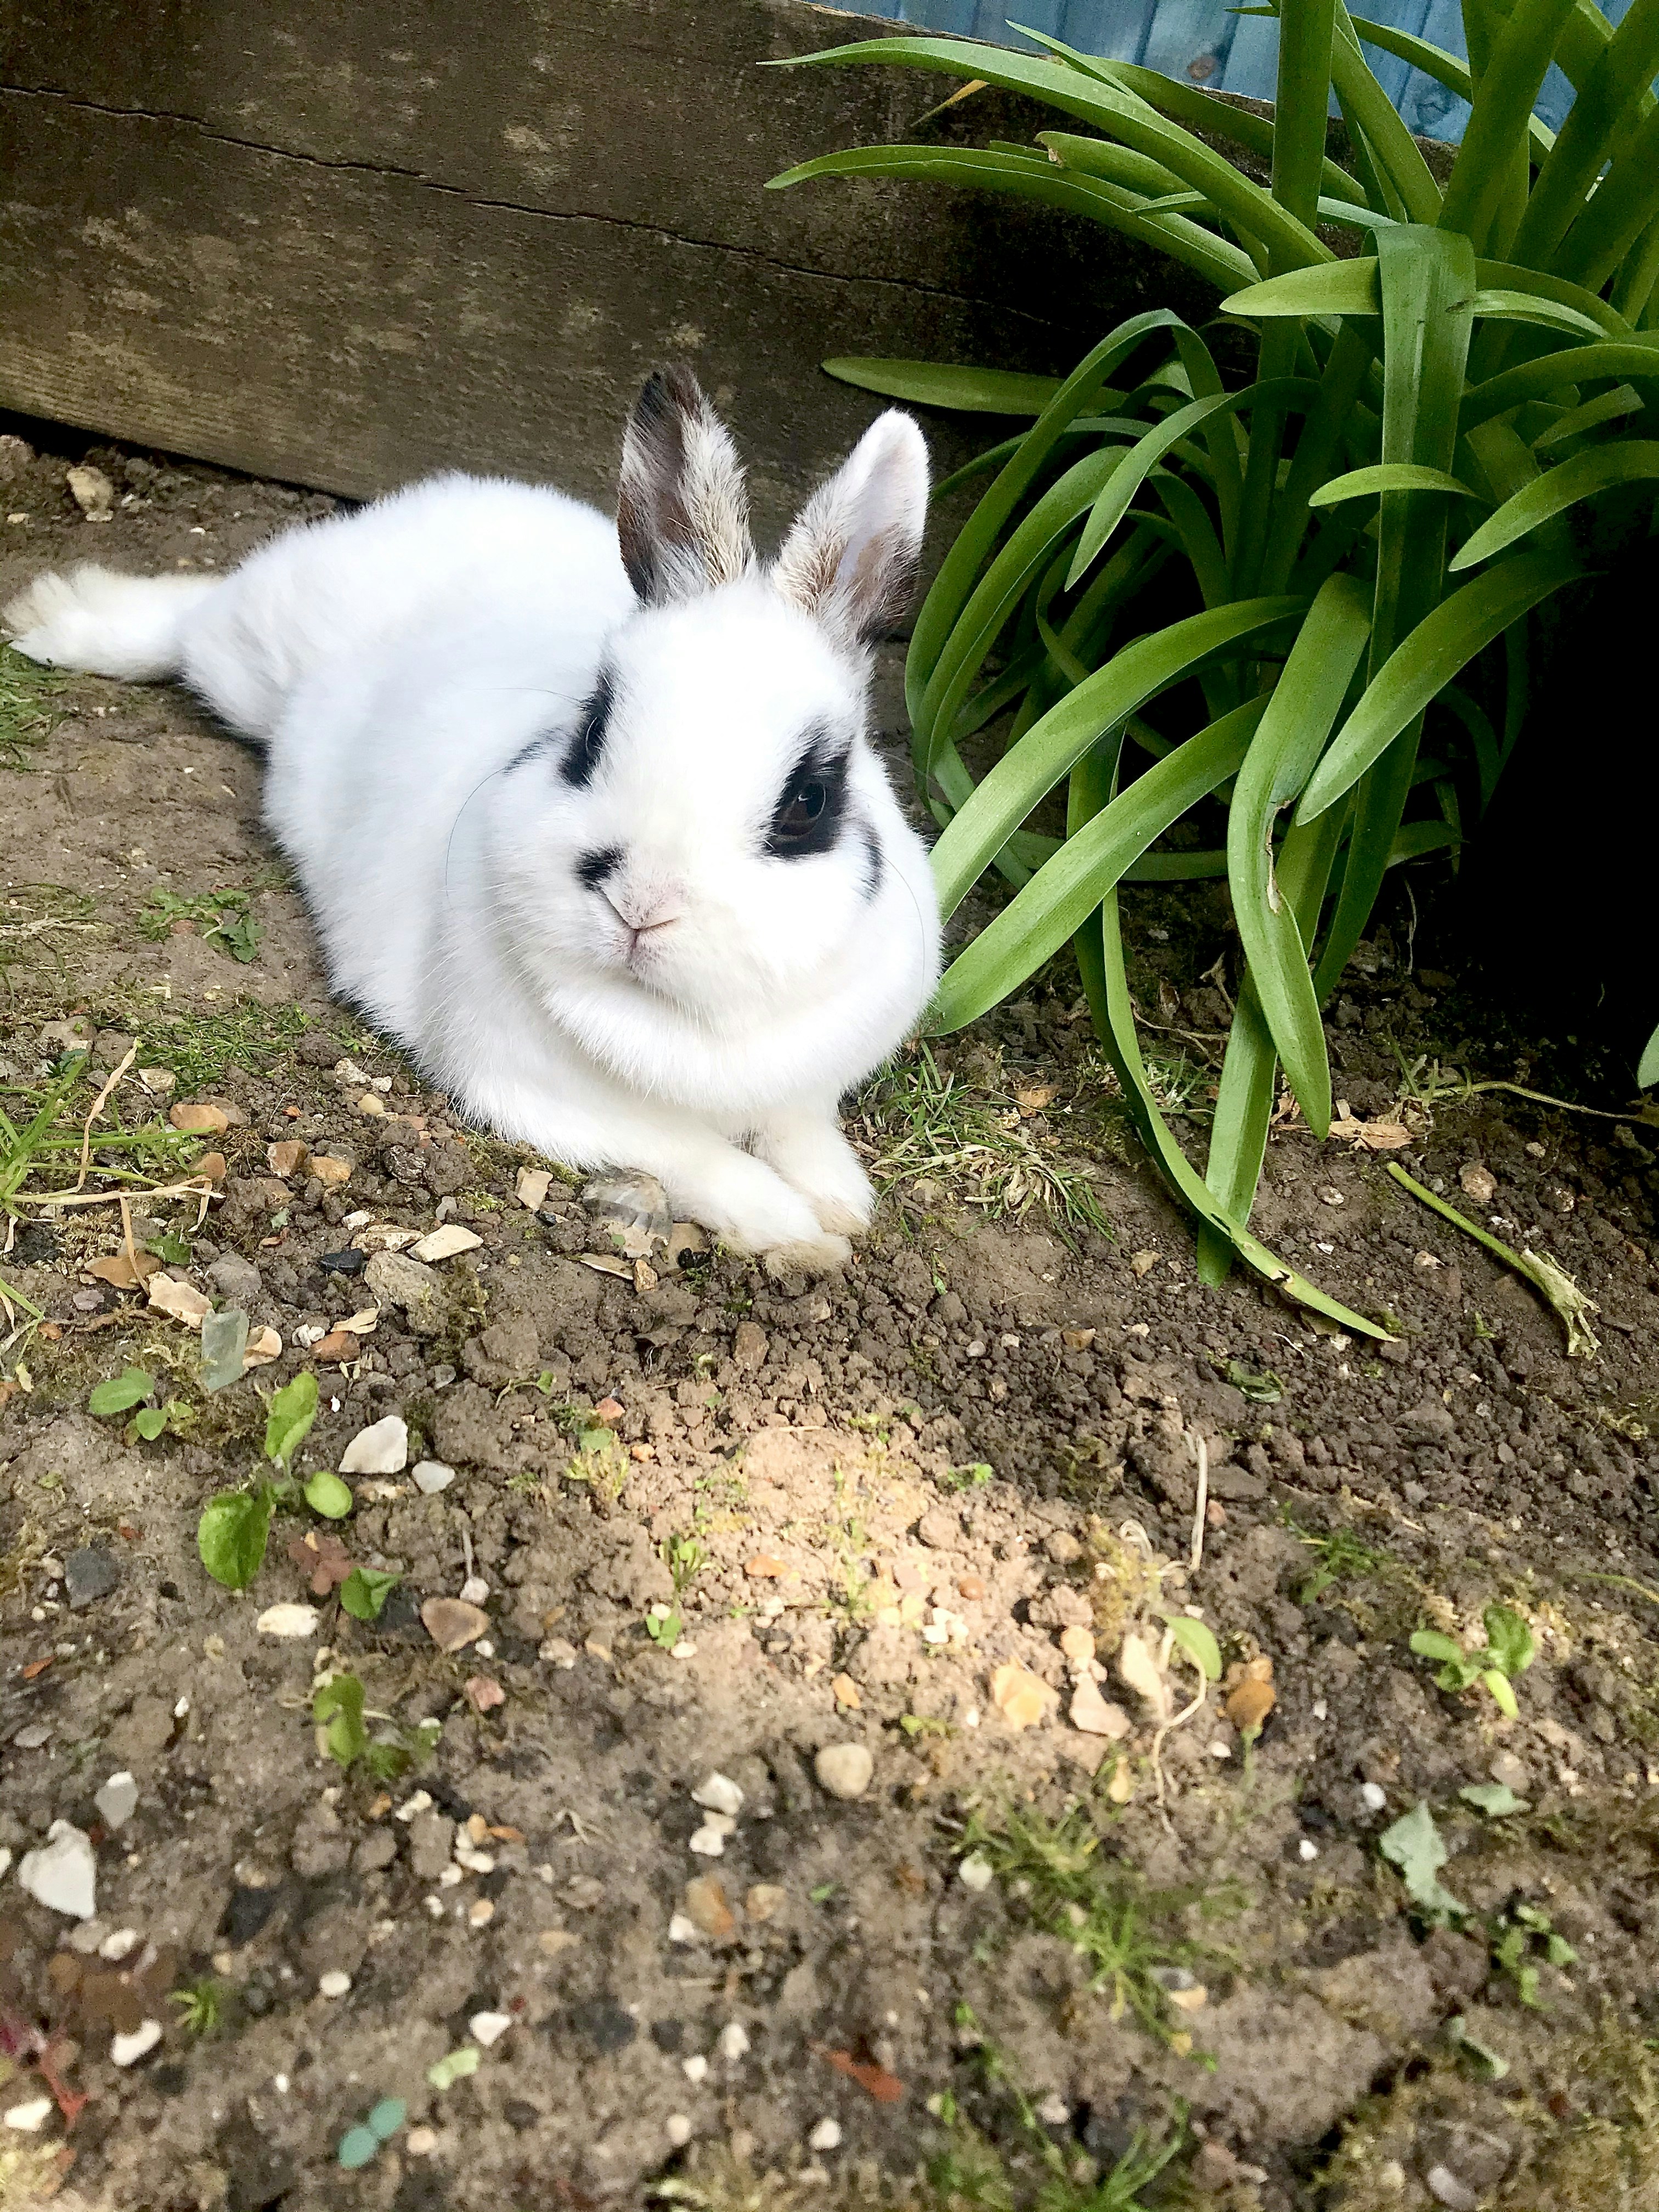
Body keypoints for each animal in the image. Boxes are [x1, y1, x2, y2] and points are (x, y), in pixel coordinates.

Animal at [6, 371, 946, 1274]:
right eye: (591, 731)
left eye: (808, 802)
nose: (640, 906)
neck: (681, 1026)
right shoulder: (551, 1097)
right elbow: (698, 1159)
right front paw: (792, 1228)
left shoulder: (806, 1088)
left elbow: (802, 1132)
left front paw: (841, 1202)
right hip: (252, 653)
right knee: (188, 622)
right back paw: (52, 618)